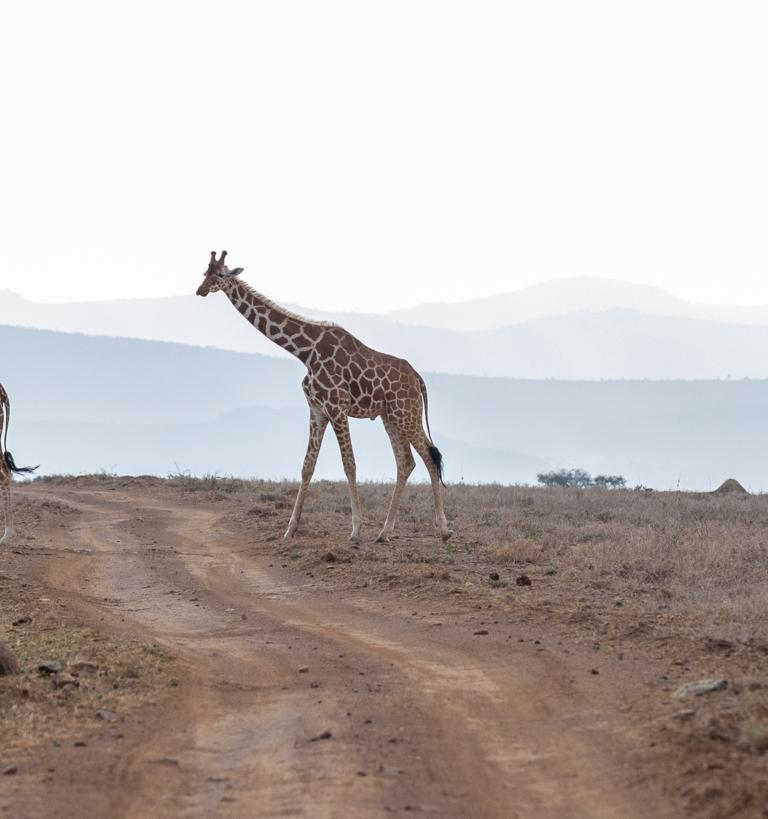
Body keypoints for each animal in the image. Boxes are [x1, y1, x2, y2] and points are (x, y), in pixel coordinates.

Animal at [196, 251, 451, 543]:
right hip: (391, 417)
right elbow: (307, 466)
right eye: (204, 273)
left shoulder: (337, 407)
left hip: (406, 413)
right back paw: (385, 532)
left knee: (429, 456)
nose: (200, 290)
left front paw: (355, 530)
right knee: (406, 462)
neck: (305, 352)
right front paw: (290, 529)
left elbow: (349, 464)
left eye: (220, 275)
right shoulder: (317, 410)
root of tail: (419, 379)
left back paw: (443, 529)